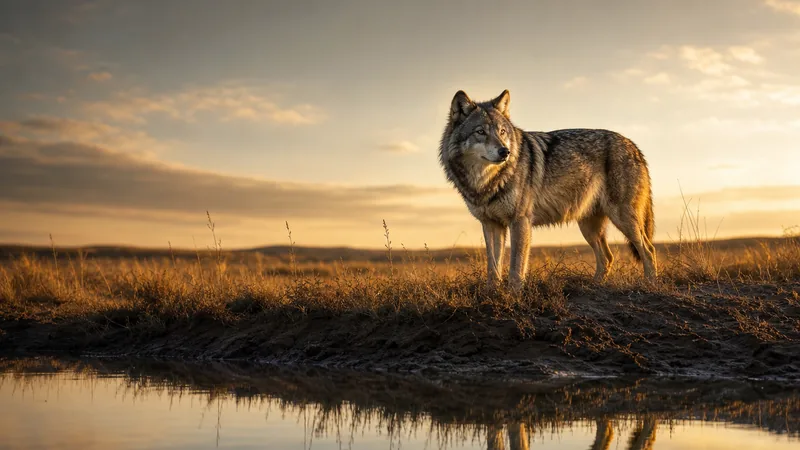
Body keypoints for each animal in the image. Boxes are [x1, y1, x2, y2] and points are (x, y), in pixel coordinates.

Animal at [439, 90, 656, 289]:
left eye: (502, 132)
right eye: (480, 132)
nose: (505, 151)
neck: (486, 182)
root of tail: (633, 146)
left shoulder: (520, 221)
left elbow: (516, 267)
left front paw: (514, 295)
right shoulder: (491, 224)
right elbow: (493, 267)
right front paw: (492, 294)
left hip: (622, 218)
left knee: (648, 249)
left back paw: (650, 284)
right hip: (588, 226)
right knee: (607, 257)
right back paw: (593, 286)